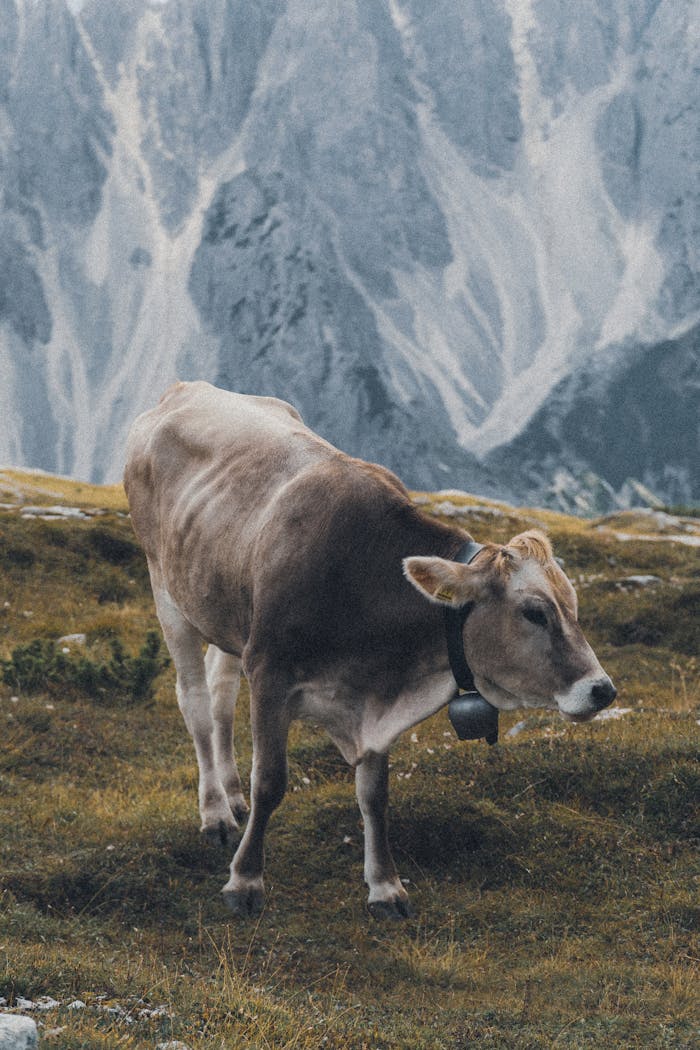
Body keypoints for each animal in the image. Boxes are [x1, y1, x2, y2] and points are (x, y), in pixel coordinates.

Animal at [123, 382, 617, 915]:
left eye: (572, 606)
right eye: (534, 613)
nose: (602, 690)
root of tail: (185, 389)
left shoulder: (375, 696)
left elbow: (374, 795)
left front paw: (385, 887)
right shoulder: (270, 672)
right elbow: (271, 782)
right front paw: (245, 881)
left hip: (226, 612)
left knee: (220, 697)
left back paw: (233, 799)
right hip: (167, 589)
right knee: (194, 701)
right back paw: (215, 813)